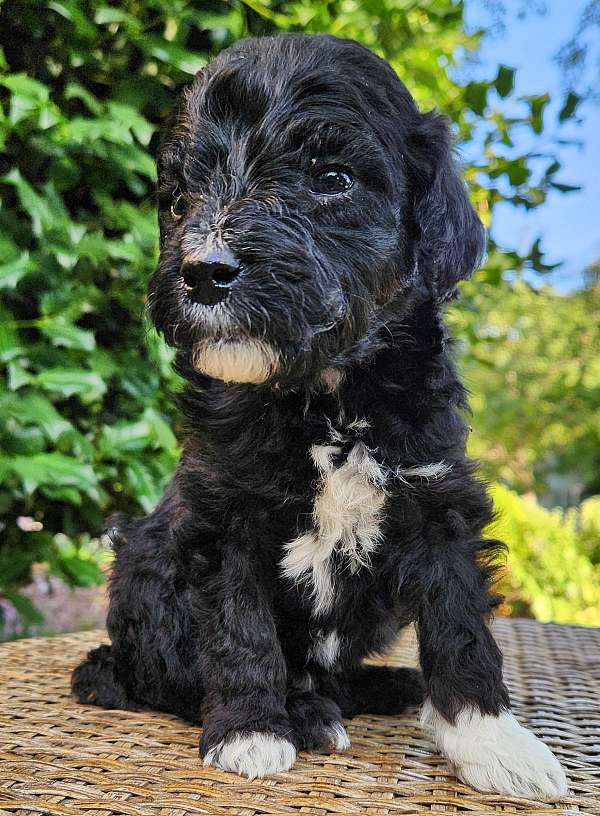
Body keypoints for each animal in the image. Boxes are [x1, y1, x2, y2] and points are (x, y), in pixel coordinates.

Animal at [71, 33, 568, 804]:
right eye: (180, 198)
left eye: (332, 178)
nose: (203, 269)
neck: (328, 392)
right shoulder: (224, 512)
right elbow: (239, 628)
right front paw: (249, 731)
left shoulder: (437, 499)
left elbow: (460, 623)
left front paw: (494, 741)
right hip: (144, 571)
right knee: (163, 675)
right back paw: (306, 710)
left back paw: (383, 686)